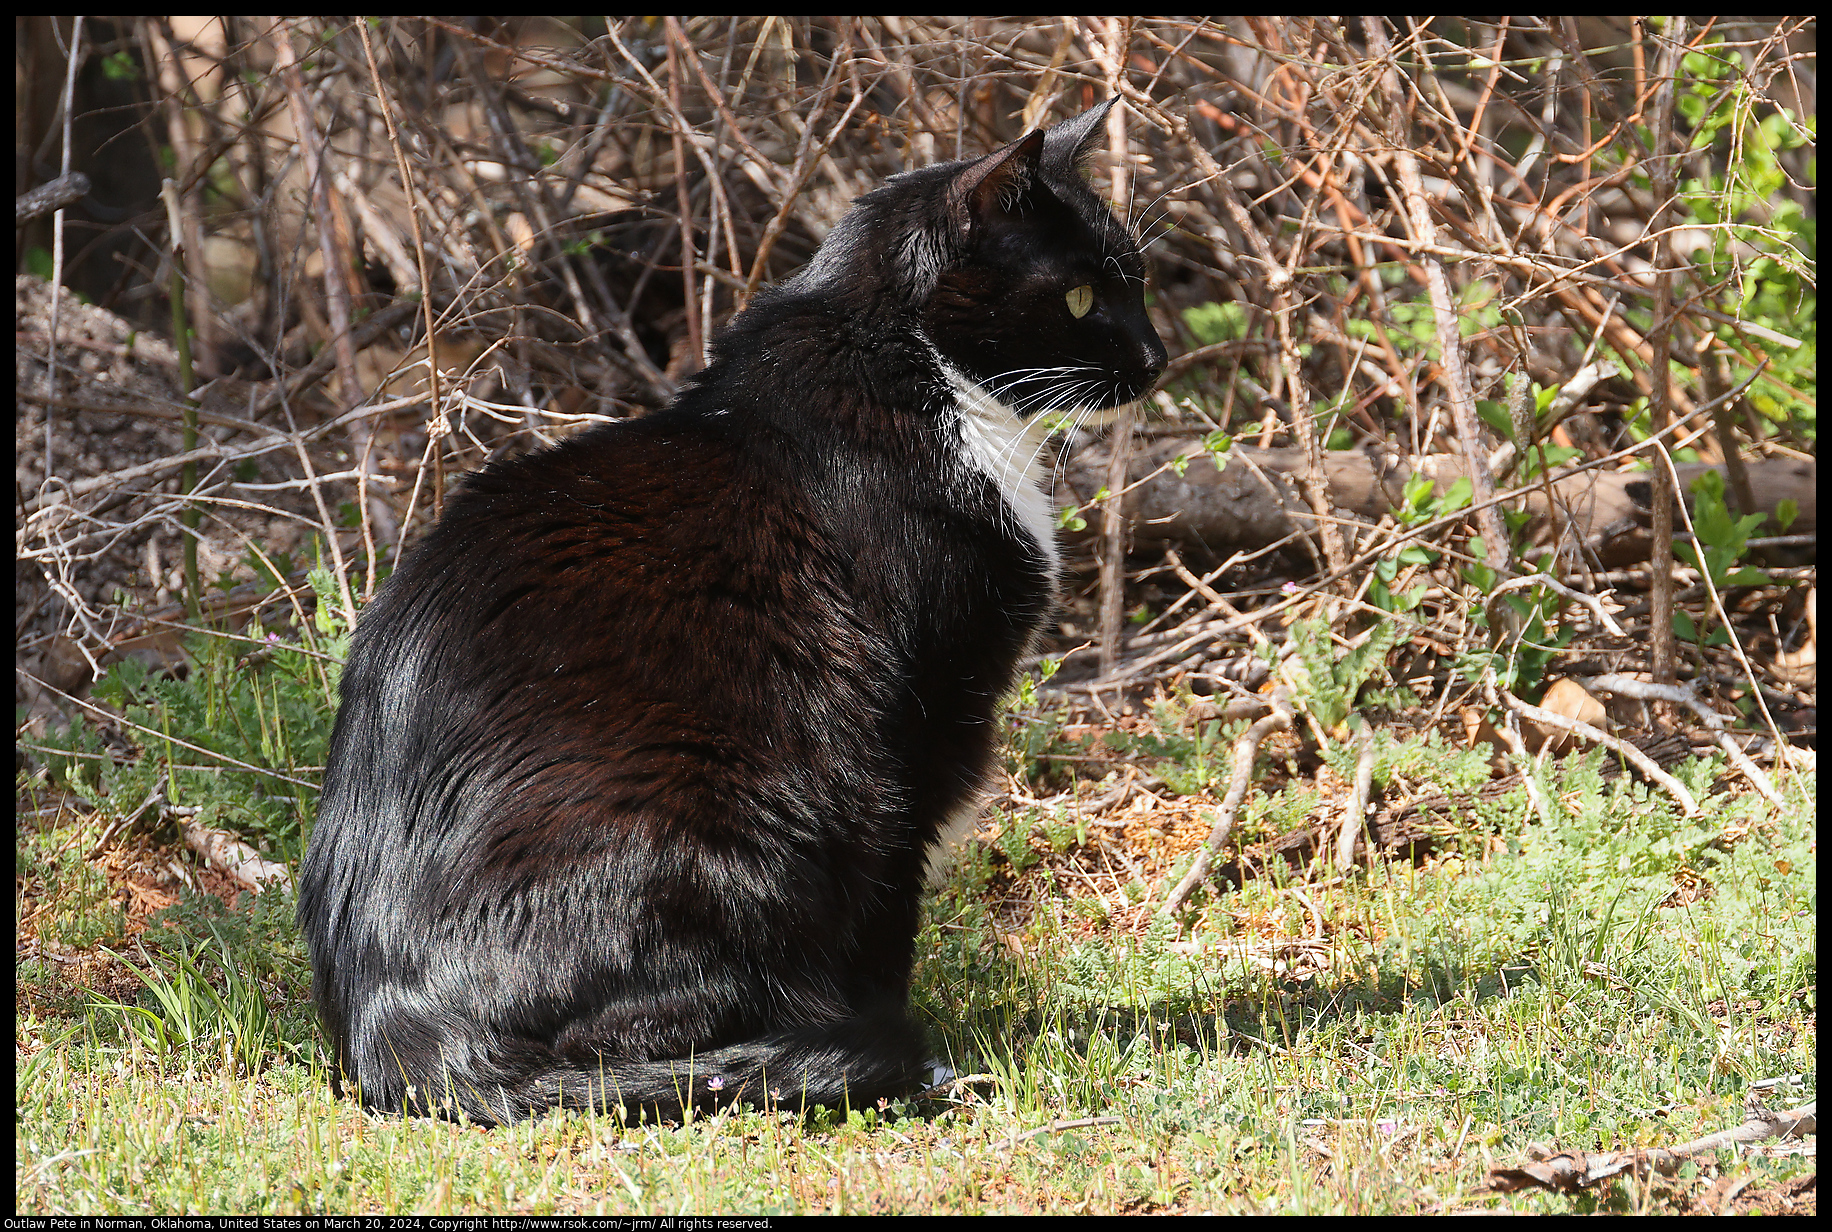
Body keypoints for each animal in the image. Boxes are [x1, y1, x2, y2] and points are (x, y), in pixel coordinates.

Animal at [294, 98, 1165, 1129]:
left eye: (1139, 281)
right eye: (1078, 299)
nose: (1157, 356)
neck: (917, 379)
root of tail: (396, 1036)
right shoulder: (917, 725)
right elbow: (891, 908)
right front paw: (895, 1040)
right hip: (728, 813)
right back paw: (819, 1057)